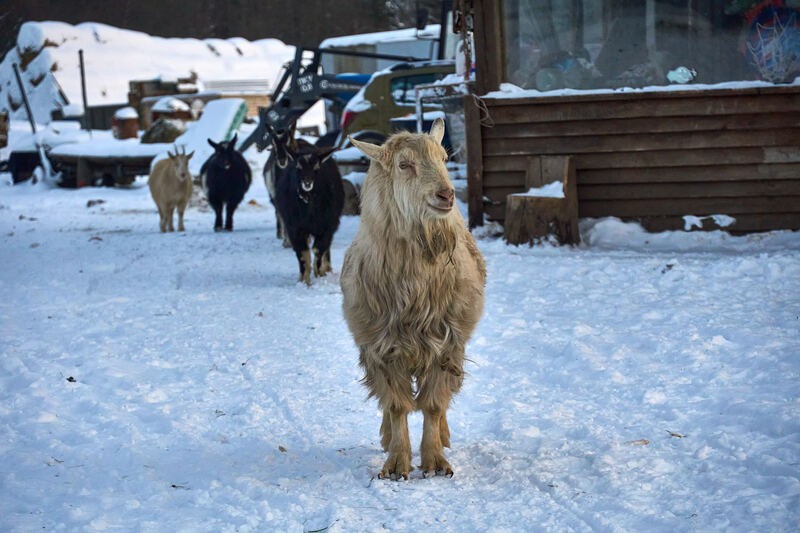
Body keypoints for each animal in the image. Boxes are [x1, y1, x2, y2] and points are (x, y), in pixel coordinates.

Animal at [272, 131, 344, 284]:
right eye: (298, 168)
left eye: (316, 169)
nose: (307, 182)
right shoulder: (295, 228)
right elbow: (303, 254)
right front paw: (304, 280)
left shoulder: (326, 226)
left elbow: (318, 250)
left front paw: (318, 274)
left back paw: (326, 269)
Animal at [340, 119, 484, 478]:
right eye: (405, 165)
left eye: (445, 158)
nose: (446, 195)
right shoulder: (381, 348)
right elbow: (396, 405)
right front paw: (396, 463)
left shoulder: (447, 345)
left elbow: (432, 404)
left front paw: (434, 461)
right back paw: (385, 437)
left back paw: (444, 437)